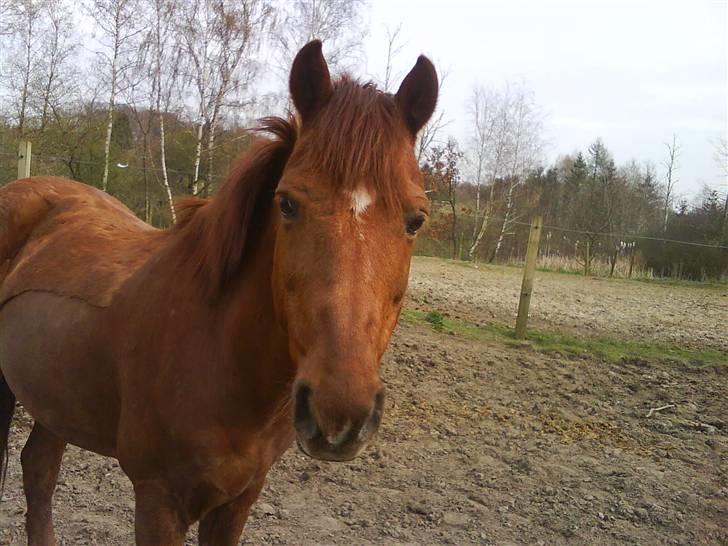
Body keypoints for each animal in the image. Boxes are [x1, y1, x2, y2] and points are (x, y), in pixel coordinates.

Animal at [0, 40, 438, 545]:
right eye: (287, 203)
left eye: (416, 219)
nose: (339, 411)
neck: (220, 350)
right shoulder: (158, 501)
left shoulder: (238, 501)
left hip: (56, 398)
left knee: (39, 469)